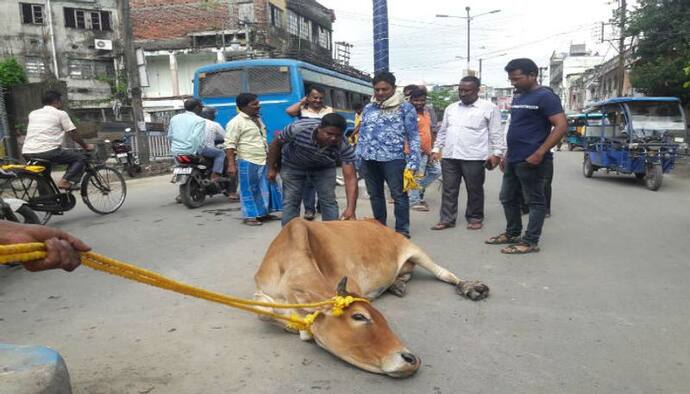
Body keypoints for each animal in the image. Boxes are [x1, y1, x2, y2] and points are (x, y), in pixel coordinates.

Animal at [254, 220, 490, 378]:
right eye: (359, 316)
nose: (411, 360)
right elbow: (264, 312)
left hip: (412, 248)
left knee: (445, 274)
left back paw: (471, 288)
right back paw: (397, 284)